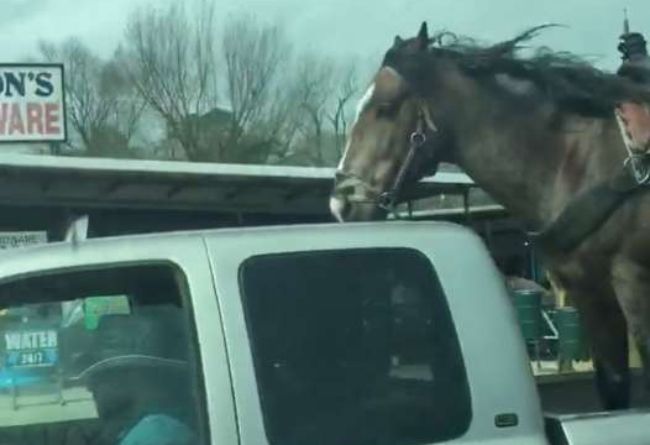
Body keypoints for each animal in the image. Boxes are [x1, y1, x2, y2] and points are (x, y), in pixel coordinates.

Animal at [332, 21, 648, 410]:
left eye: (386, 108)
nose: (341, 202)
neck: (578, 160)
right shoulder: (589, 291)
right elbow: (614, 386)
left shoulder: (634, 282)